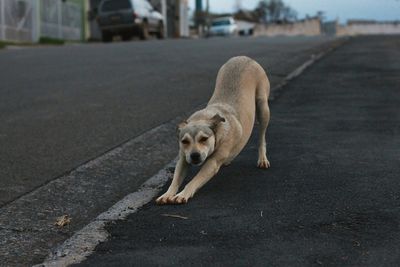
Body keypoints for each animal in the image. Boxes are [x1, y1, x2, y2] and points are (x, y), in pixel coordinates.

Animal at [156, 56, 272, 205]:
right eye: (184, 141)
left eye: (204, 138)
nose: (194, 155)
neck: (205, 117)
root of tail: (245, 57)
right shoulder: (183, 158)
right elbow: (176, 178)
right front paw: (167, 194)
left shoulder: (212, 163)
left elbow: (194, 180)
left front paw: (182, 194)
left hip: (263, 107)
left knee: (262, 136)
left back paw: (262, 158)